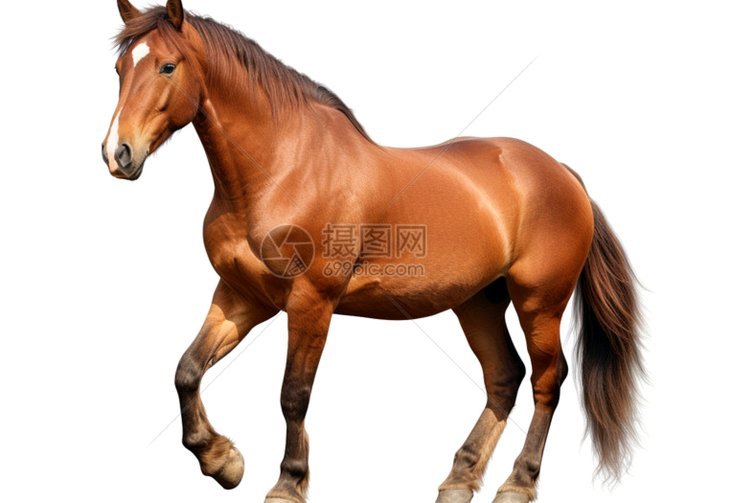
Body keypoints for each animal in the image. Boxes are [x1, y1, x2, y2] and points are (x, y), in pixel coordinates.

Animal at [102, 1, 643, 502]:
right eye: (120, 68)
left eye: (167, 66)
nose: (117, 153)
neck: (282, 168)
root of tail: (560, 172)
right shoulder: (242, 296)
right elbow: (187, 370)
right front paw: (222, 461)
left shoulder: (311, 302)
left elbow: (293, 395)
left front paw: (288, 482)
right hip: (479, 301)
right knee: (504, 377)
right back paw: (459, 479)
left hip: (539, 302)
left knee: (547, 380)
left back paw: (518, 483)